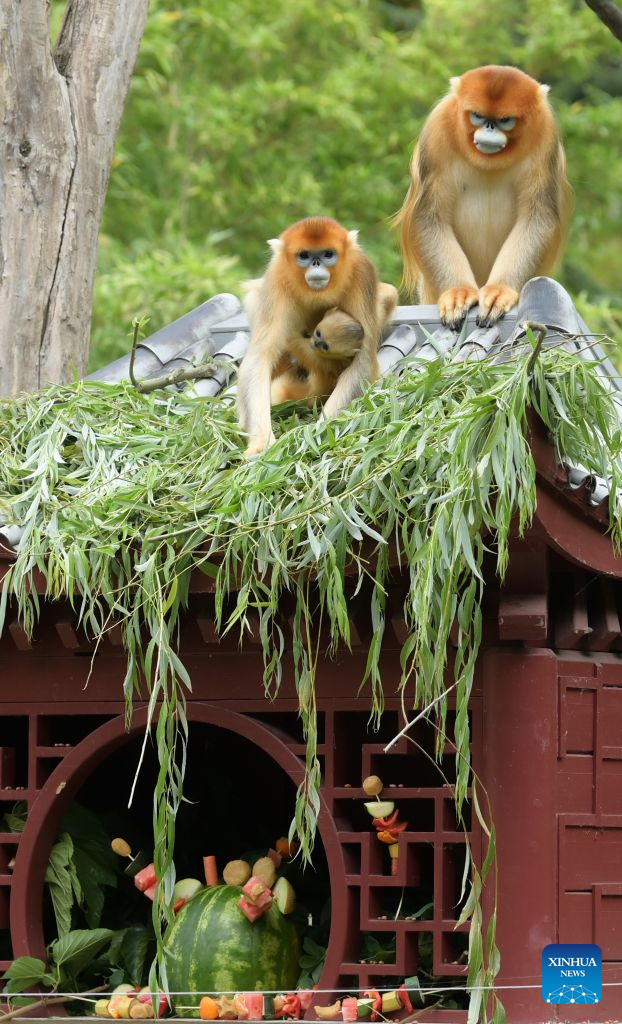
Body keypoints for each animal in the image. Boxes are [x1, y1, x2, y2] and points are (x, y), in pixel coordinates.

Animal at [237, 217, 398, 455]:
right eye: (304, 255)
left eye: (327, 254)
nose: (316, 264)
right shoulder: (276, 277)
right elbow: (259, 359)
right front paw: (261, 443)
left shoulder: (362, 272)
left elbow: (362, 362)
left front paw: (318, 433)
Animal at [394, 65, 572, 329]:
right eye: (477, 116)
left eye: (505, 120)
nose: (489, 128)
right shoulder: (437, 126)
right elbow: (429, 217)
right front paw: (458, 293)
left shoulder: (545, 133)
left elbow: (537, 218)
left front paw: (500, 291)